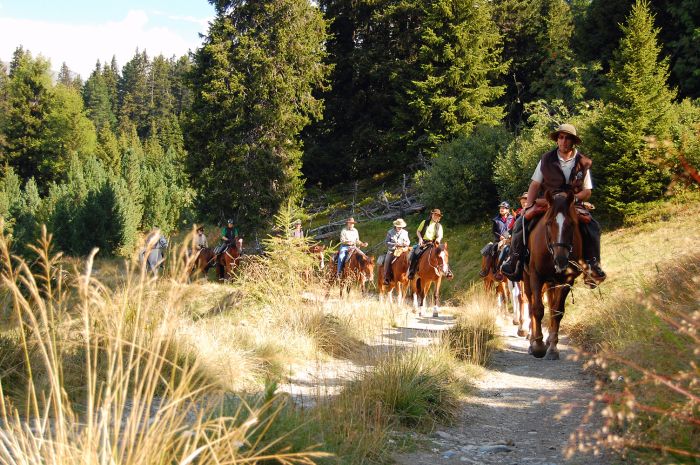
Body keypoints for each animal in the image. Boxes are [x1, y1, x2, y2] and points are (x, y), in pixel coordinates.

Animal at [524, 188, 584, 358]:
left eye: (571, 224)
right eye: (549, 223)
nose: (561, 259)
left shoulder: (566, 280)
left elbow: (557, 312)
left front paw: (552, 348)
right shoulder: (536, 276)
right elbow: (537, 309)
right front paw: (538, 346)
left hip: (551, 283)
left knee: (551, 307)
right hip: (527, 279)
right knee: (530, 304)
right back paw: (532, 342)